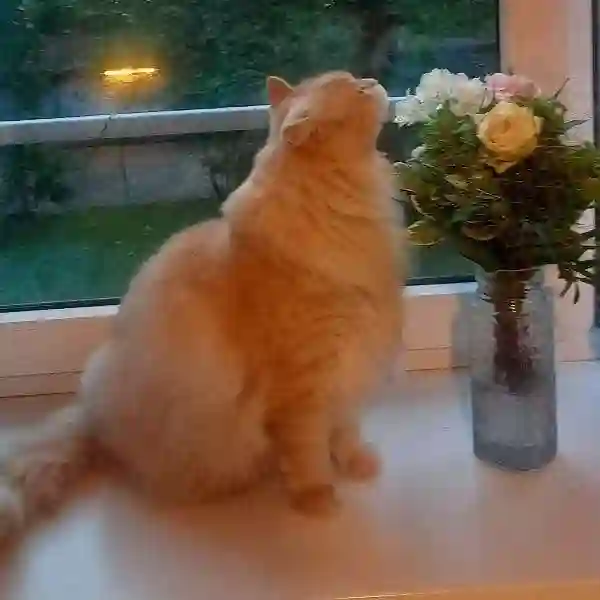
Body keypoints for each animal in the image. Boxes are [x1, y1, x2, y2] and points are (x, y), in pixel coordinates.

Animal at [0, 71, 405, 536]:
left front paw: (357, 463)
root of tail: (91, 418)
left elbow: (345, 431)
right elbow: (308, 455)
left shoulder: (348, 367)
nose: (373, 81)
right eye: (356, 90)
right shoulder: (303, 387)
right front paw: (317, 500)